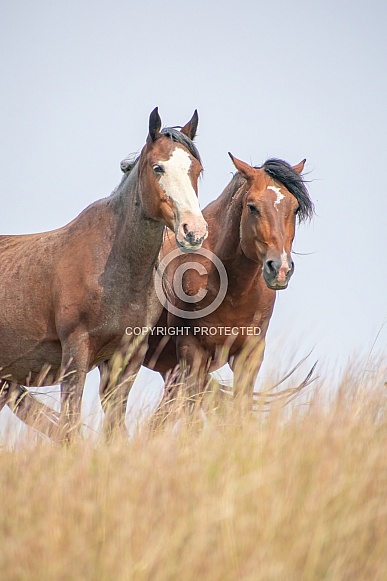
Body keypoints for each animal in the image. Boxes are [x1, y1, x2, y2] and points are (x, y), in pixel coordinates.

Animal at [0, 107, 209, 440]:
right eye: (158, 167)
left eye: (196, 169)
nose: (194, 231)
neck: (113, 269)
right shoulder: (76, 355)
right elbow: (70, 424)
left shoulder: (125, 360)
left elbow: (114, 428)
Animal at [142, 152, 316, 414]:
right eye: (252, 206)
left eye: (295, 208)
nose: (280, 269)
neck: (233, 292)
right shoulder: (192, 353)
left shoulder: (250, 355)